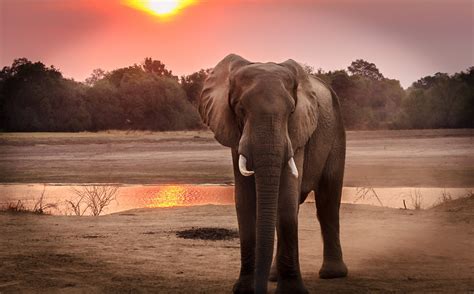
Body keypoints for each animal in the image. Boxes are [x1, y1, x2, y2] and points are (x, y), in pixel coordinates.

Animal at [198, 54, 346, 292]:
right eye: (240, 109)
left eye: (291, 111)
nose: (259, 288)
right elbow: (245, 201)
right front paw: (244, 289)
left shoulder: (297, 131)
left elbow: (286, 198)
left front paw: (292, 292)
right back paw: (274, 277)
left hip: (337, 133)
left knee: (327, 202)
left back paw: (332, 274)